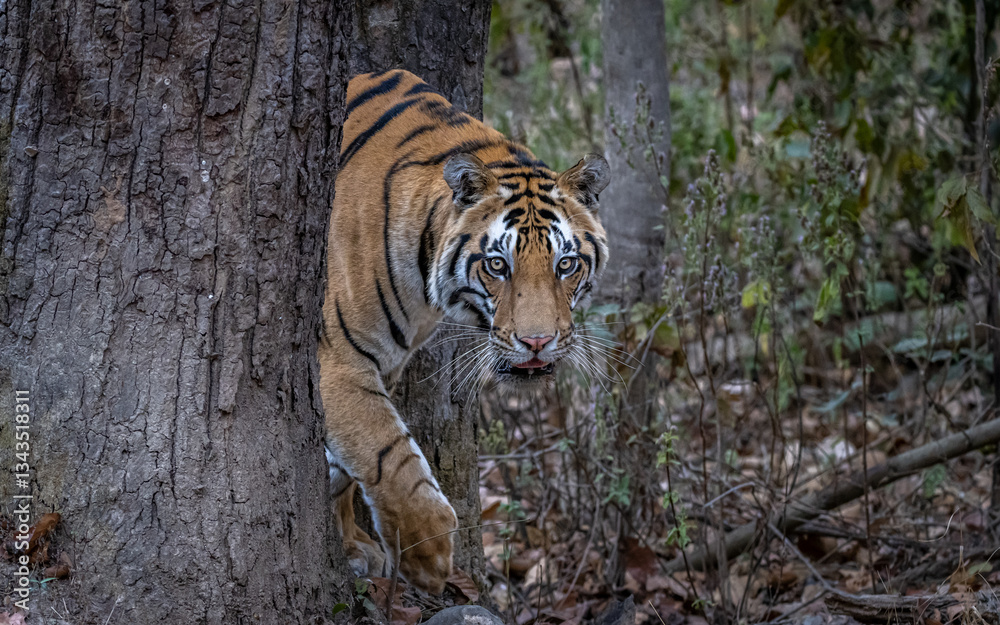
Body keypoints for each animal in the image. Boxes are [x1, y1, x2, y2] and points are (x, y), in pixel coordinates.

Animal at [320, 69, 610, 594]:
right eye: (498, 265)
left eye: (566, 264)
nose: (537, 342)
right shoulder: (336, 359)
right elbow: (384, 451)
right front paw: (427, 557)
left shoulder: (385, 362)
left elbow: (344, 469)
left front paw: (351, 548)